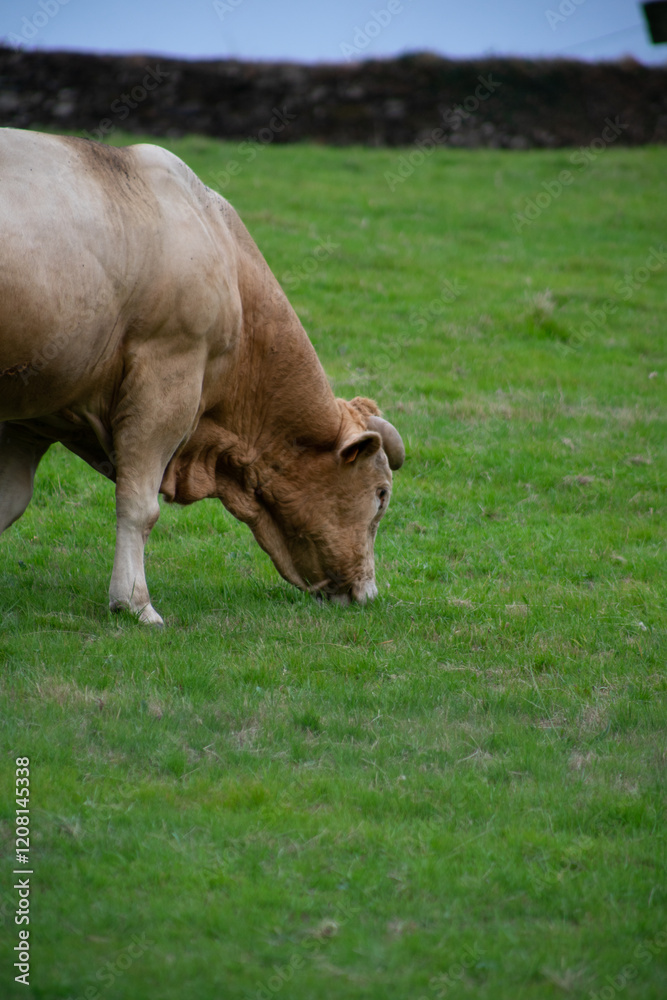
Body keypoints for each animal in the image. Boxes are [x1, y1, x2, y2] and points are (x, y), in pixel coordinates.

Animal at [0, 128, 404, 623]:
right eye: (381, 494)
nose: (369, 593)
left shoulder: (34, 413)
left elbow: (9, 500)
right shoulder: (166, 381)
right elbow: (140, 506)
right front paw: (135, 603)